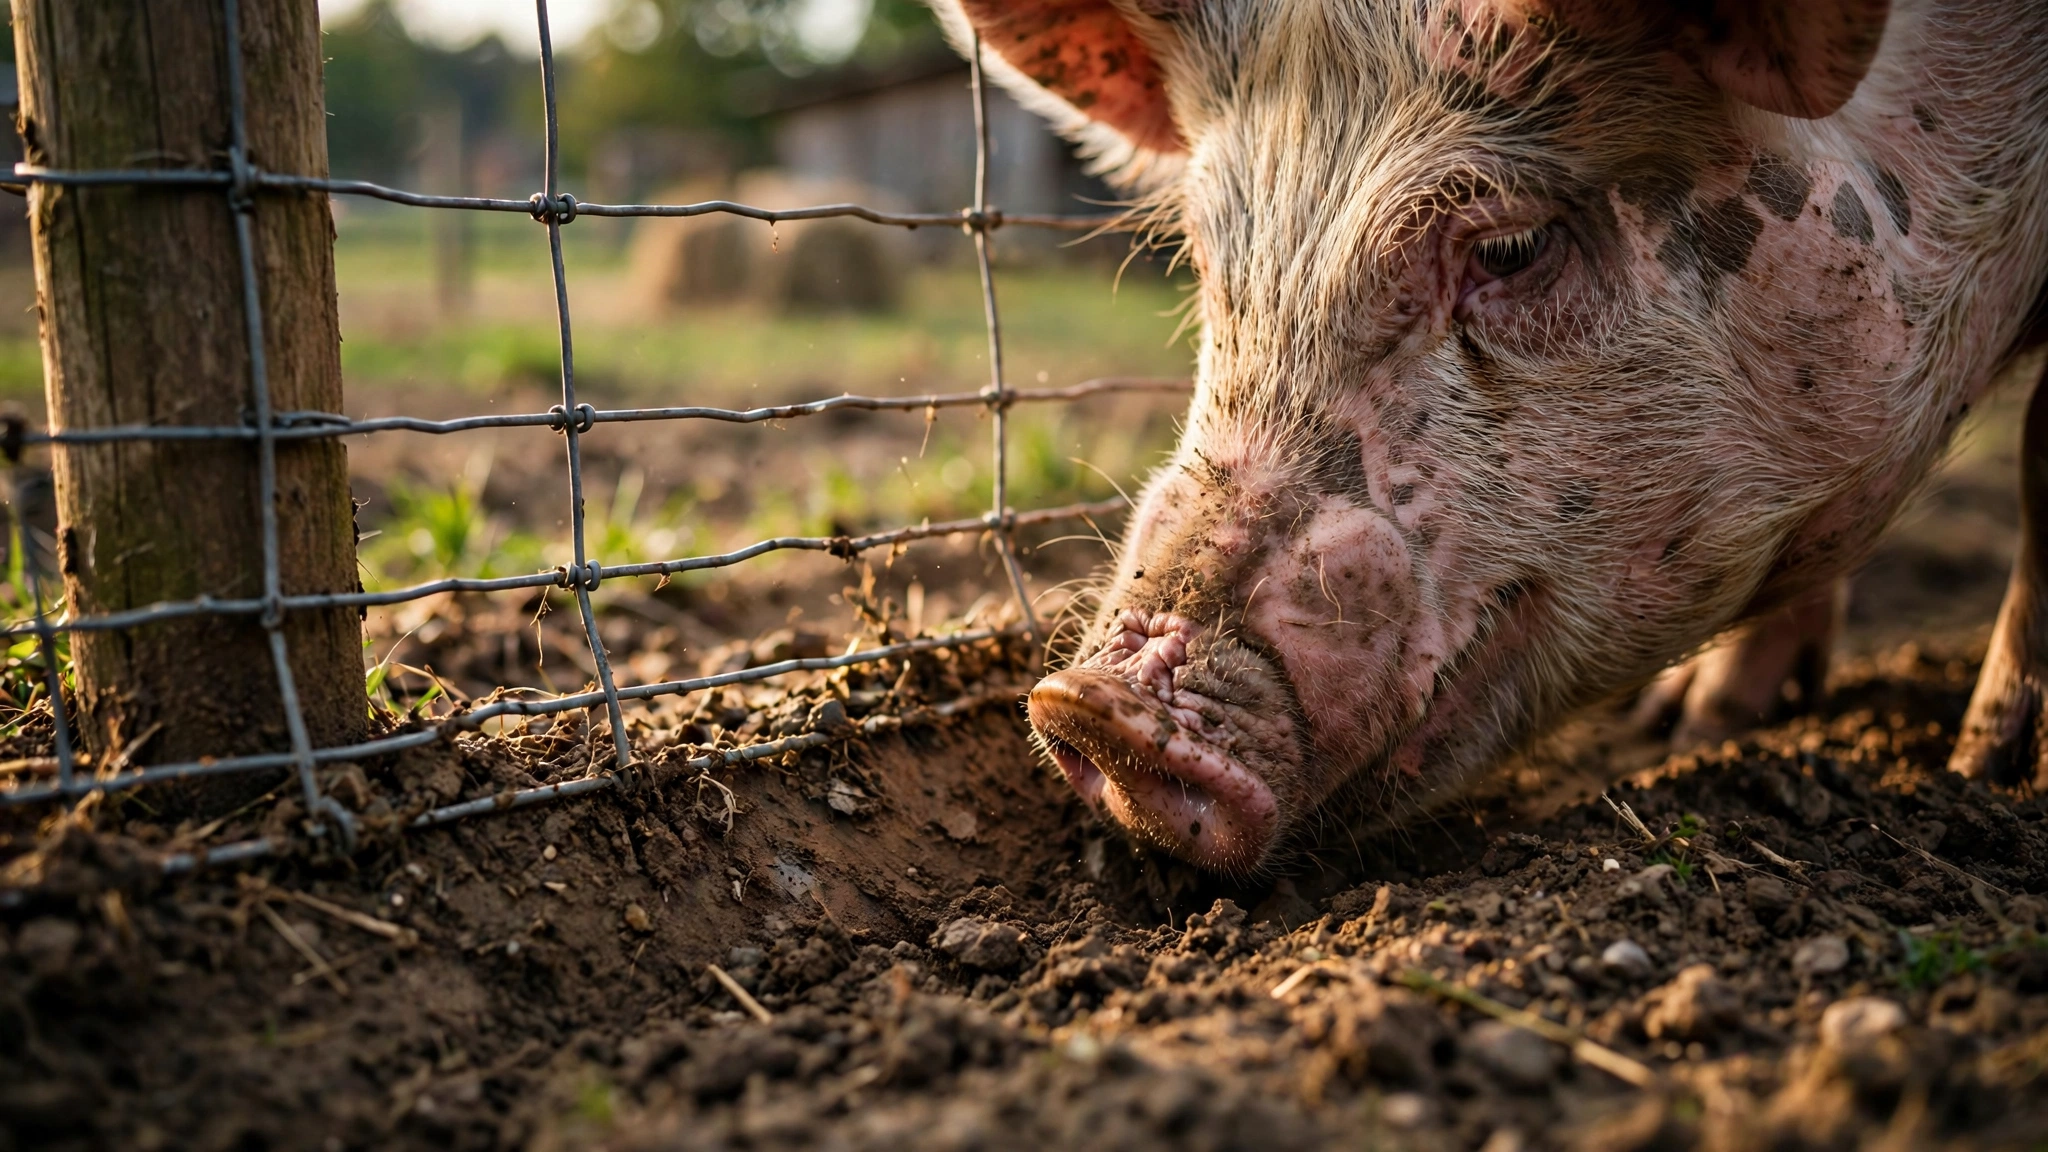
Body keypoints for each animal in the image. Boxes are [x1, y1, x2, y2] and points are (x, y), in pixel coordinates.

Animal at [933, 0, 2048, 873]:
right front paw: (1693, 725)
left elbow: (2039, 448)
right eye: (1207, 263)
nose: (1093, 707)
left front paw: (1992, 771)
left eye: (1511, 247)